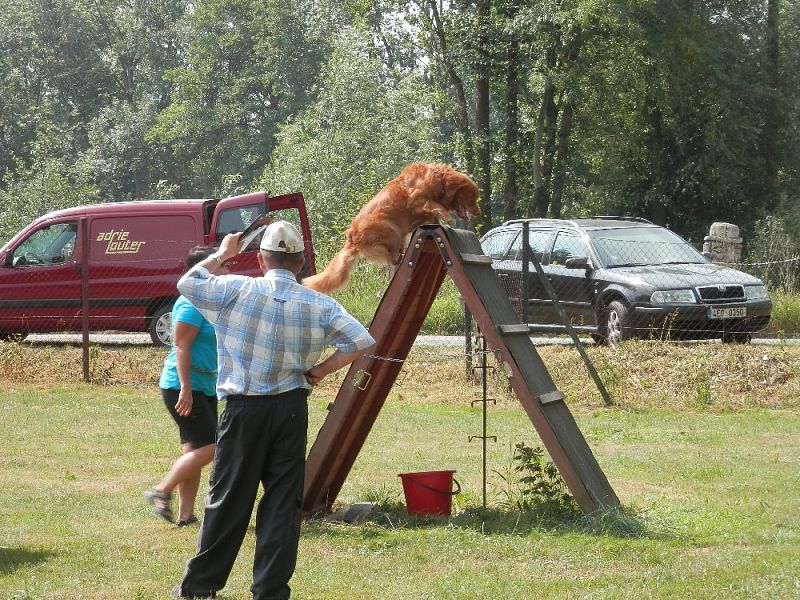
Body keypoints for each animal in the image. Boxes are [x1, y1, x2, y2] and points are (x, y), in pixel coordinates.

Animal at [302, 162, 478, 292]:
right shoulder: (416, 200)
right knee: (391, 256)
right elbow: (435, 206)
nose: (478, 212)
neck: (438, 179)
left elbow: (433, 215)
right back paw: (399, 257)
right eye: (471, 197)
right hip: (391, 229)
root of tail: (352, 238)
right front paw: (448, 219)